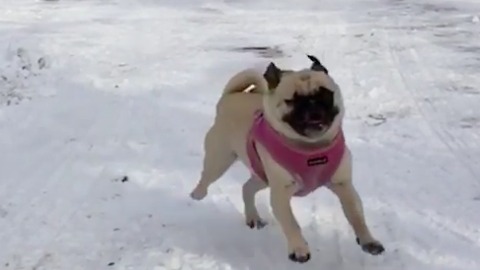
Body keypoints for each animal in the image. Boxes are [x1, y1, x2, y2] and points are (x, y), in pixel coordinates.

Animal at [189, 54, 384, 264]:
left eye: (325, 94)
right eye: (293, 100)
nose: (312, 104)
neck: (312, 149)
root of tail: (230, 96)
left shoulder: (344, 186)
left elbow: (357, 216)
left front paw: (368, 241)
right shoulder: (281, 194)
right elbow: (291, 223)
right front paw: (299, 249)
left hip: (262, 177)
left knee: (247, 188)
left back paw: (253, 217)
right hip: (220, 160)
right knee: (206, 178)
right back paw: (196, 196)